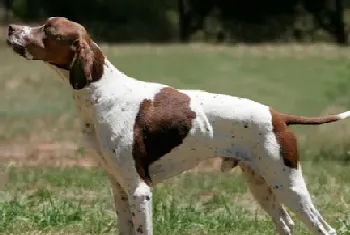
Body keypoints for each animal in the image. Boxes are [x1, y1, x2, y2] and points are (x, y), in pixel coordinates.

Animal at [6, 17, 350, 235]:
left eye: (48, 28)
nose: (10, 27)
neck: (103, 93)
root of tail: (277, 115)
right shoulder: (119, 189)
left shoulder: (140, 189)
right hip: (261, 184)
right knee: (286, 224)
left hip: (288, 183)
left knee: (325, 228)